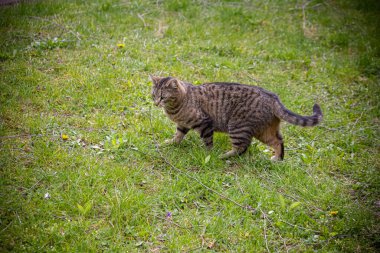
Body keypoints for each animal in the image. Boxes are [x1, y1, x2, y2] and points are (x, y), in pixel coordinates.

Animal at [150, 75, 322, 160]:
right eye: (154, 95)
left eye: (163, 97)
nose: (156, 103)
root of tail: (272, 96)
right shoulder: (183, 124)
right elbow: (178, 135)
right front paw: (171, 143)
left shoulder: (205, 123)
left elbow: (208, 142)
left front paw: (208, 154)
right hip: (264, 131)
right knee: (278, 141)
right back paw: (277, 159)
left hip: (237, 126)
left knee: (242, 147)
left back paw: (223, 156)